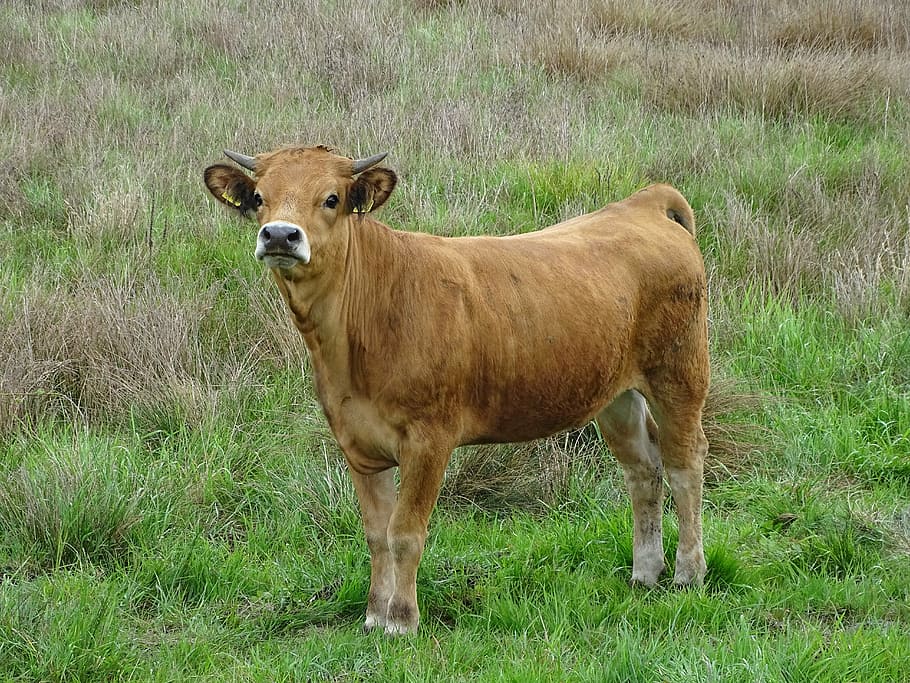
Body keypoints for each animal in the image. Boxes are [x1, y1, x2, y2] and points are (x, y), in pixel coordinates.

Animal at [203, 145, 710, 635]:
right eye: (259, 198)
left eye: (331, 198)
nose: (279, 236)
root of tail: (641, 203)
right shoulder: (356, 443)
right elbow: (376, 534)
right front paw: (373, 614)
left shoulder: (430, 439)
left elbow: (405, 533)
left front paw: (401, 621)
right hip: (616, 394)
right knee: (643, 469)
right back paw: (645, 572)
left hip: (680, 375)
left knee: (685, 463)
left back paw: (688, 573)